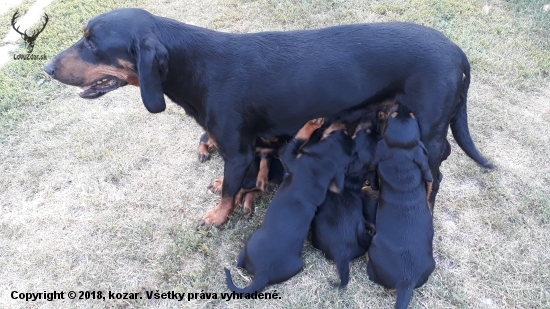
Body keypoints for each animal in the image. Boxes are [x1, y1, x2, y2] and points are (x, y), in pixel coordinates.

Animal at [42, 7, 492, 226]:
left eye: (91, 43)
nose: (45, 67)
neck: (196, 66)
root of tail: (457, 51)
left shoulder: (238, 150)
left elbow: (229, 190)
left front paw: (217, 217)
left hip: (427, 131)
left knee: (437, 174)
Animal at [226, 119, 356, 292]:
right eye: (344, 133)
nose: (344, 124)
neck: (322, 167)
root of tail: (262, 274)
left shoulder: (288, 157)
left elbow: (297, 140)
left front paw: (312, 123)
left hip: (254, 245)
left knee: (239, 261)